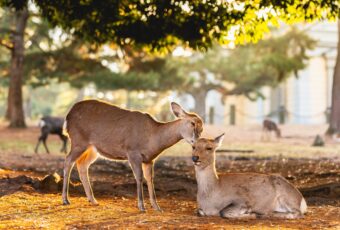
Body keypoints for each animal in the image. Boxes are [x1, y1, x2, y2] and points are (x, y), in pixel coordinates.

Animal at [62, 99, 203, 211]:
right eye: (192, 123)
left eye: (201, 128)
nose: (196, 141)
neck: (153, 140)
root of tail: (68, 116)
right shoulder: (133, 152)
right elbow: (139, 177)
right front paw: (141, 206)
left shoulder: (149, 159)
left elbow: (150, 179)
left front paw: (156, 207)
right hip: (78, 140)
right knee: (68, 160)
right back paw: (65, 200)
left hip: (92, 148)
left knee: (82, 164)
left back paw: (93, 200)